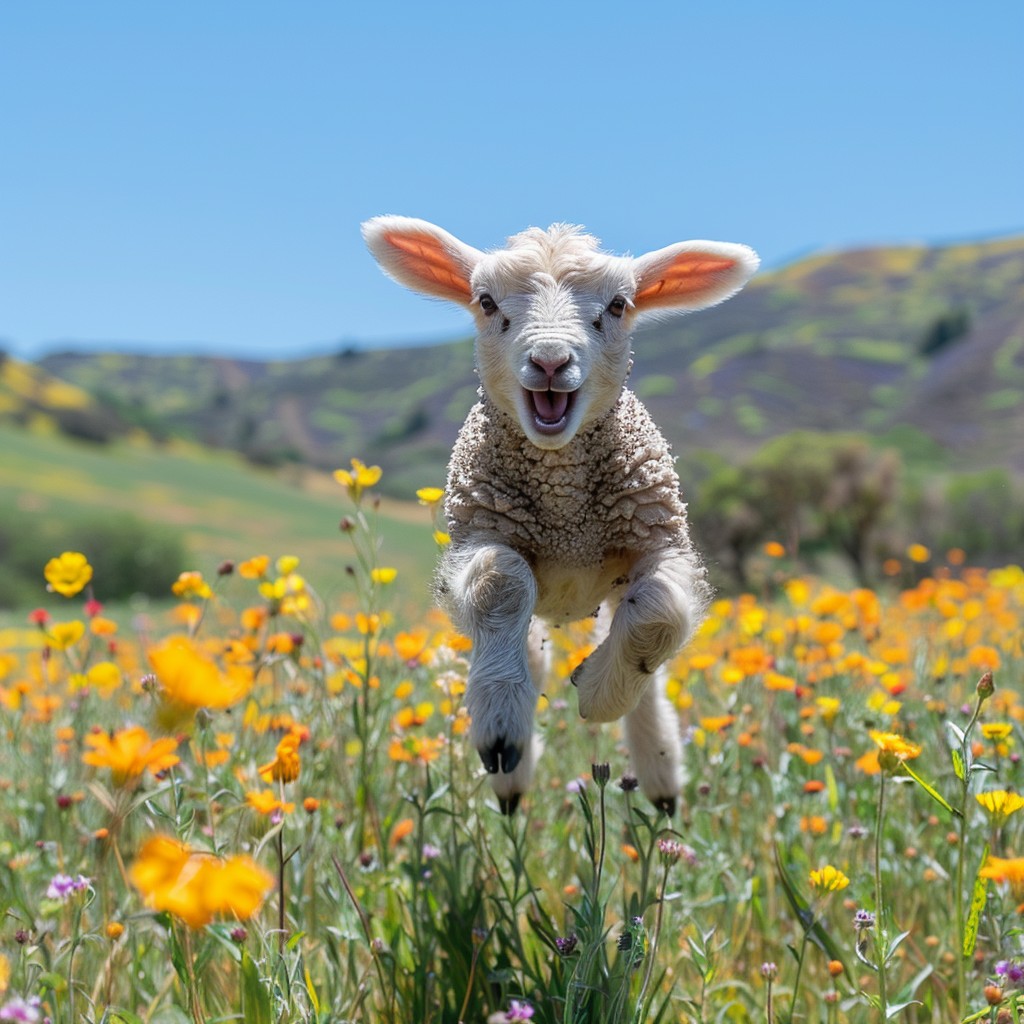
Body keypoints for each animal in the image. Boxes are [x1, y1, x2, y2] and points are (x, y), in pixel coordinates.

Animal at [362, 216, 759, 815]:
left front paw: (597, 694)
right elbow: (498, 583)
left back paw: (661, 780)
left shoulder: (659, 539)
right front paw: (502, 728)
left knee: (649, 684)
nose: (550, 361)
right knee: (525, 649)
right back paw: (509, 763)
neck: (565, 510)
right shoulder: (479, 534)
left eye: (618, 305)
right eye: (485, 301)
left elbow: (660, 613)